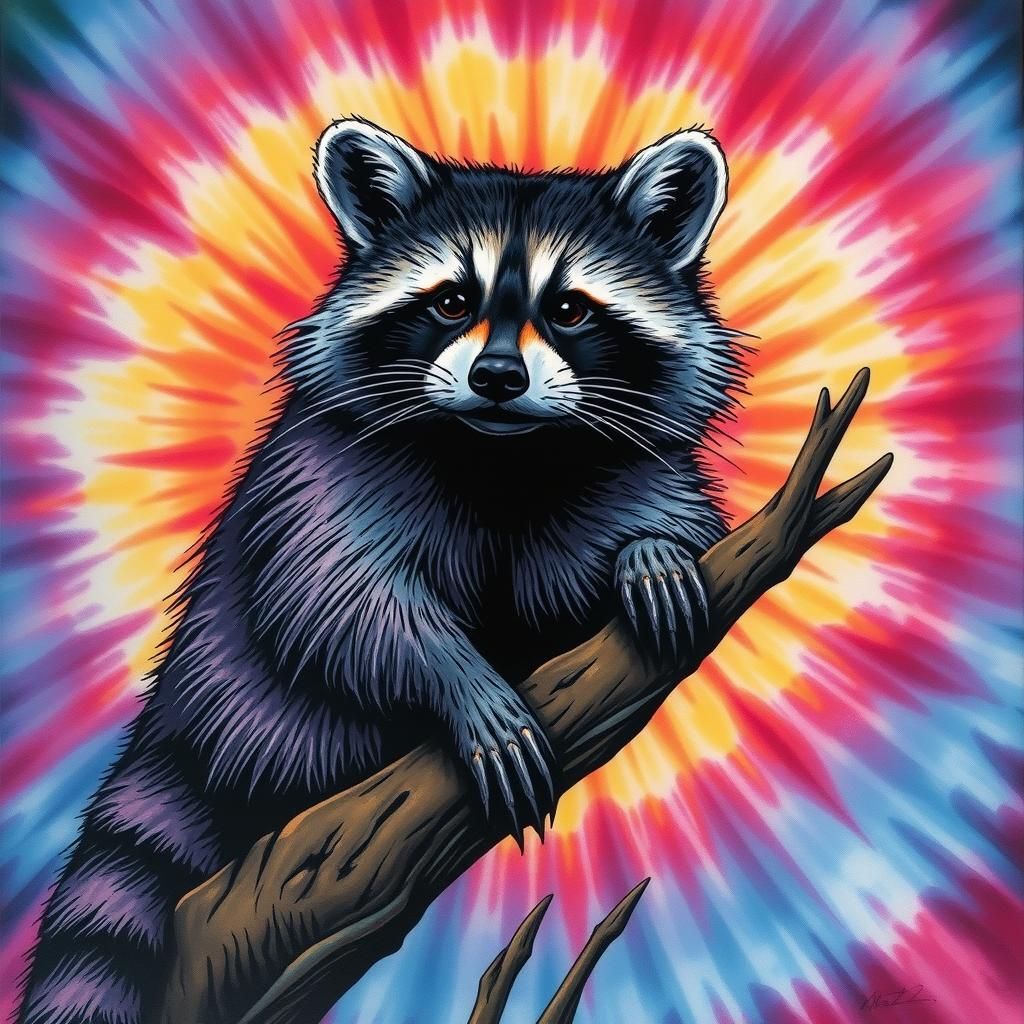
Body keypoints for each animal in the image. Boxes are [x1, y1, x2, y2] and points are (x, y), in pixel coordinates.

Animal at [19, 118, 743, 1022]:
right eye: (451, 301)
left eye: (569, 309)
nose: (497, 376)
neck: (501, 455)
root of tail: (176, 717)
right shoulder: (323, 473)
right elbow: (342, 603)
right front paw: (461, 683)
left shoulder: (620, 469)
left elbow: (628, 553)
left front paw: (652, 554)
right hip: (259, 713)